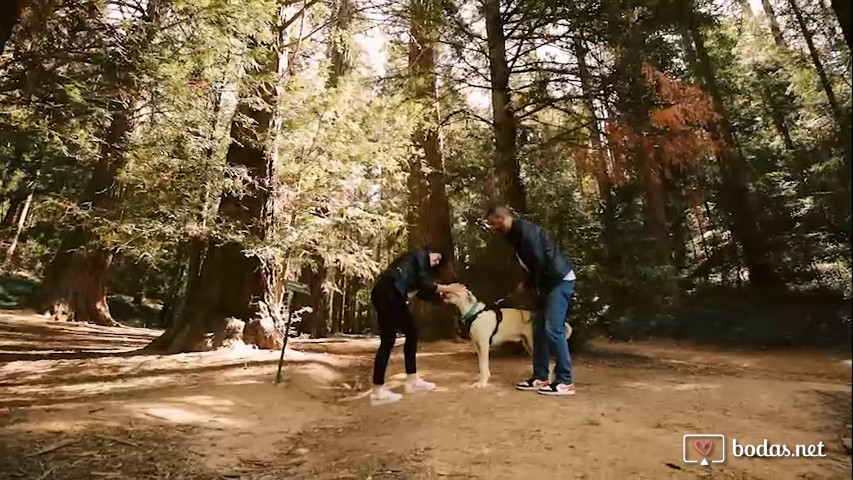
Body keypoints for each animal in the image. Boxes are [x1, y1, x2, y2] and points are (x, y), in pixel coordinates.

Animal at [440, 284, 572, 388]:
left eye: (455, 286)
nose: (444, 289)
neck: (474, 312)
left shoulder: (484, 345)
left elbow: (483, 365)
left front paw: (482, 383)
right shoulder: (477, 346)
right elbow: (482, 366)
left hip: (533, 344)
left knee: (549, 363)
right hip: (528, 345)